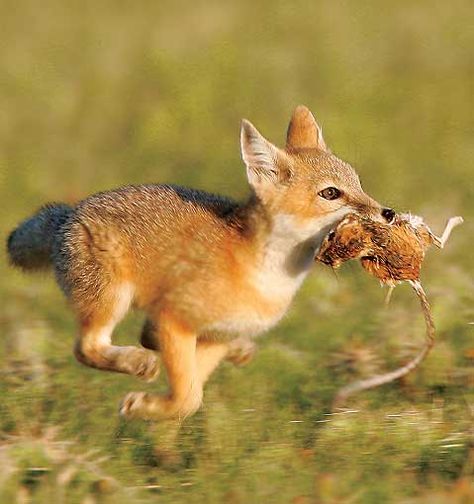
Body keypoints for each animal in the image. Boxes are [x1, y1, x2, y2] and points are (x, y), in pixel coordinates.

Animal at [7, 106, 394, 422]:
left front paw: (154, 408)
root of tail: (69, 211)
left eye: (358, 184)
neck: (264, 277)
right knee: (87, 348)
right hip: (109, 302)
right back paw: (136, 360)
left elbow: (193, 394)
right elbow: (188, 398)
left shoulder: (217, 335)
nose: (388, 213)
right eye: (331, 194)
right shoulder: (174, 320)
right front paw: (146, 407)